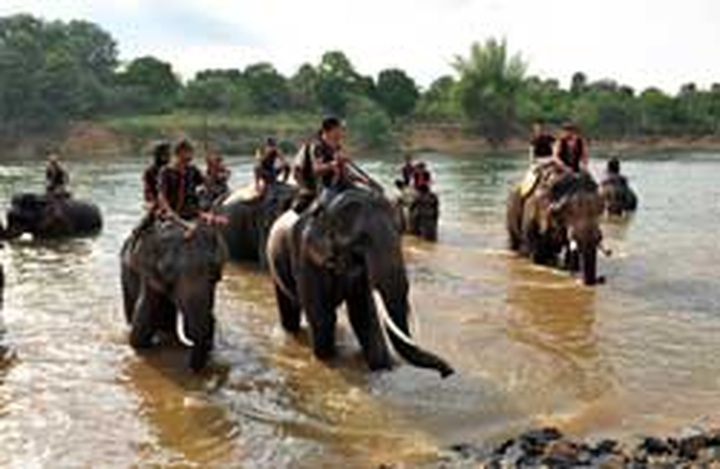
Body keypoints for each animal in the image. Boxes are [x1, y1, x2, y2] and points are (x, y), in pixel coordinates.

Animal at [266, 187, 454, 377]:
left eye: (400, 233)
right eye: (358, 245)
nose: (447, 371)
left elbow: (363, 315)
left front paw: (382, 368)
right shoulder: (306, 257)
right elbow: (323, 318)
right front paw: (330, 363)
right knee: (290, 311)